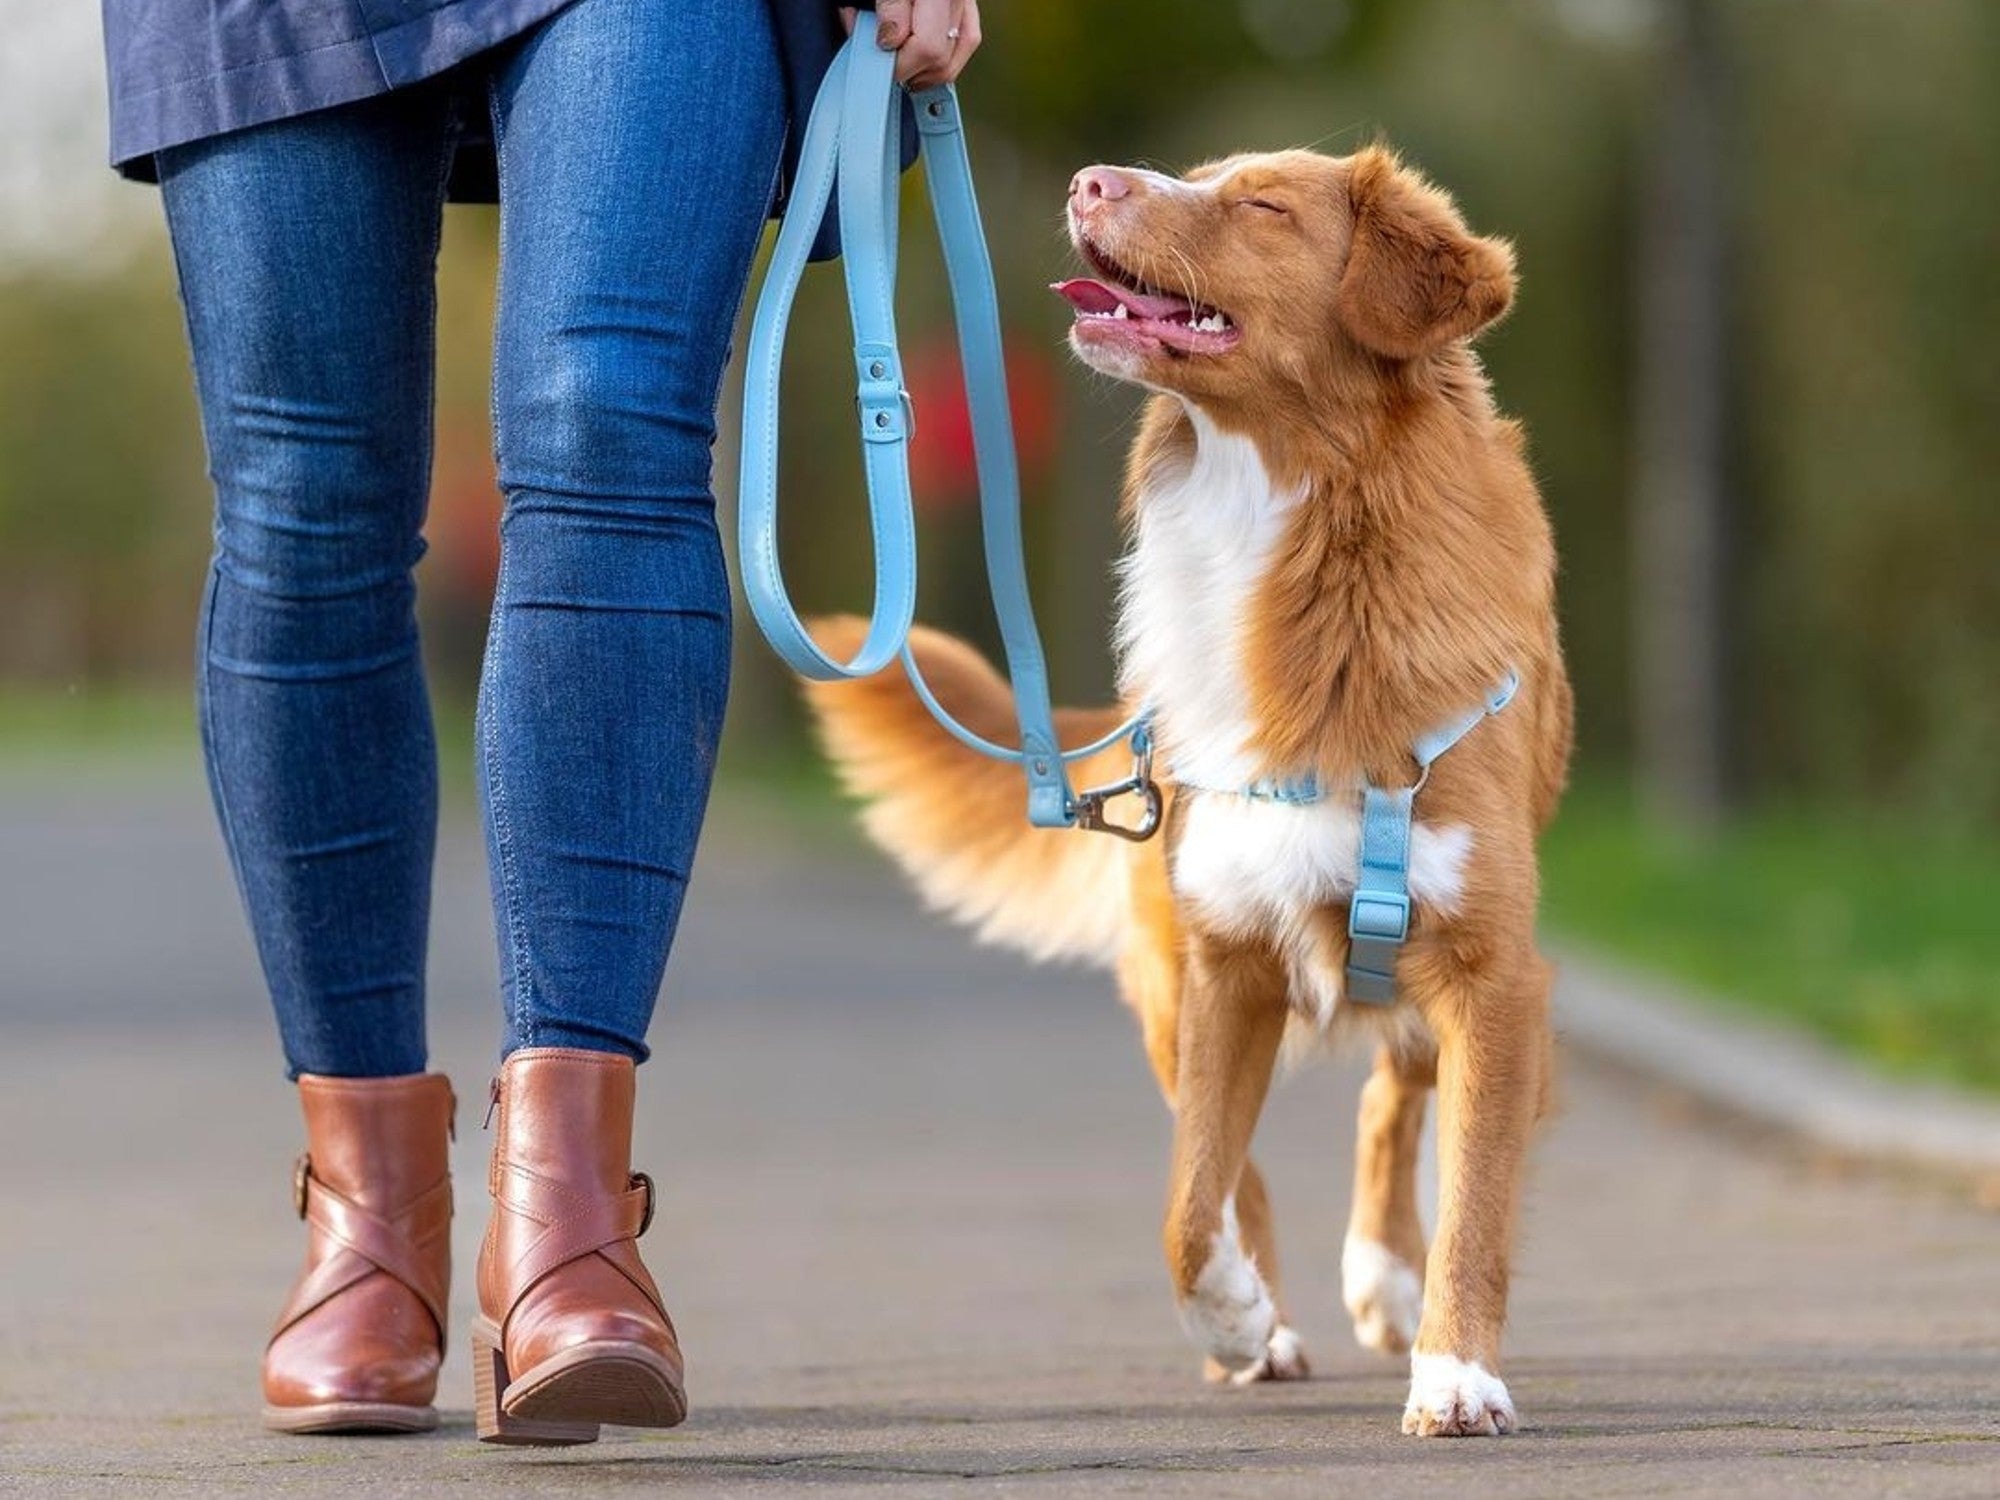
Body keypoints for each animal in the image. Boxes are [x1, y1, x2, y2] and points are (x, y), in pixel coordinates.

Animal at [804, 147, 1568, 1440]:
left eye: (1260, 205)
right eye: (1199, 176)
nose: (1088, 179)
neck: (1283, 527)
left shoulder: (1491, 969)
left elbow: (1474, 1195)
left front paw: (1454, 1372)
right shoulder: (1222, 958)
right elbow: (1189, 1197)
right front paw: (1233, 1318)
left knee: (1397, 1096)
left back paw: (1383, 1281)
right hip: (1166, 973)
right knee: (1229, 1161)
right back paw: (1267, 1322)